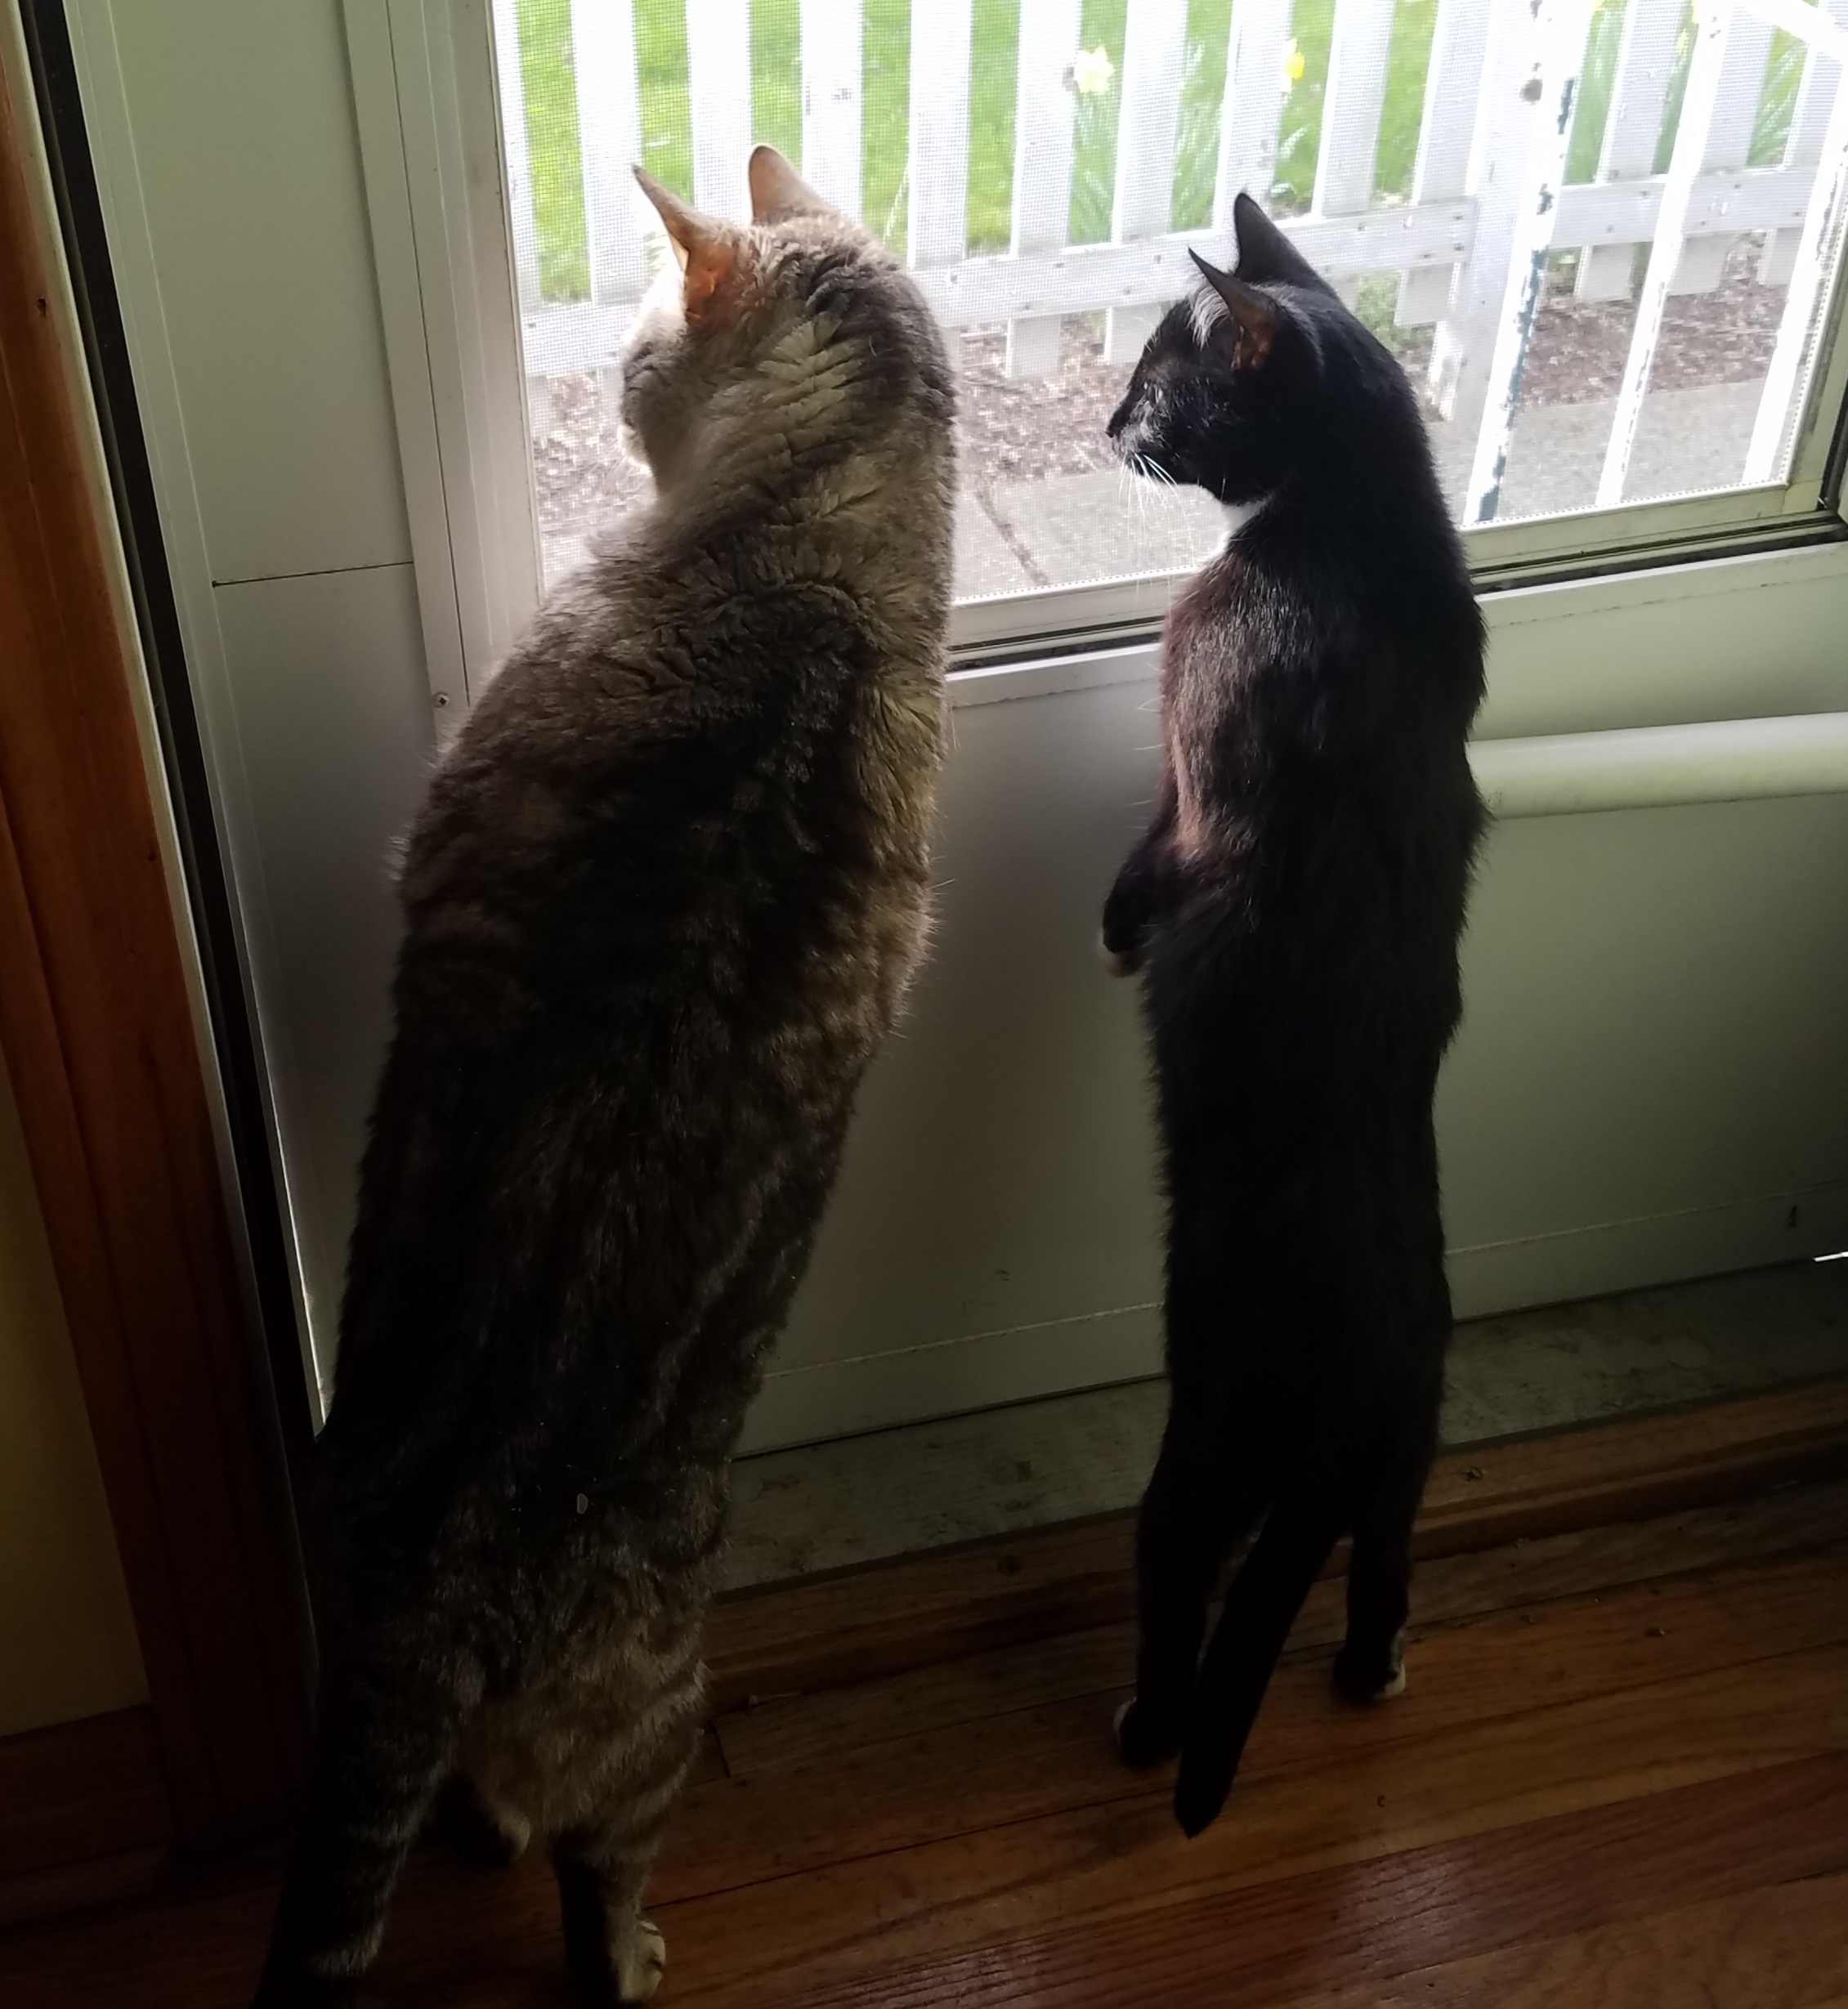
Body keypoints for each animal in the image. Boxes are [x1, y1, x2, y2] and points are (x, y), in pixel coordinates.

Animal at [254, 145, 956, 2007]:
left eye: (642, 350)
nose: (614, 382)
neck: (825, 566)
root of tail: (442, 1589)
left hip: (645, 1738)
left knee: (578, 1876)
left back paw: (620, 1942)